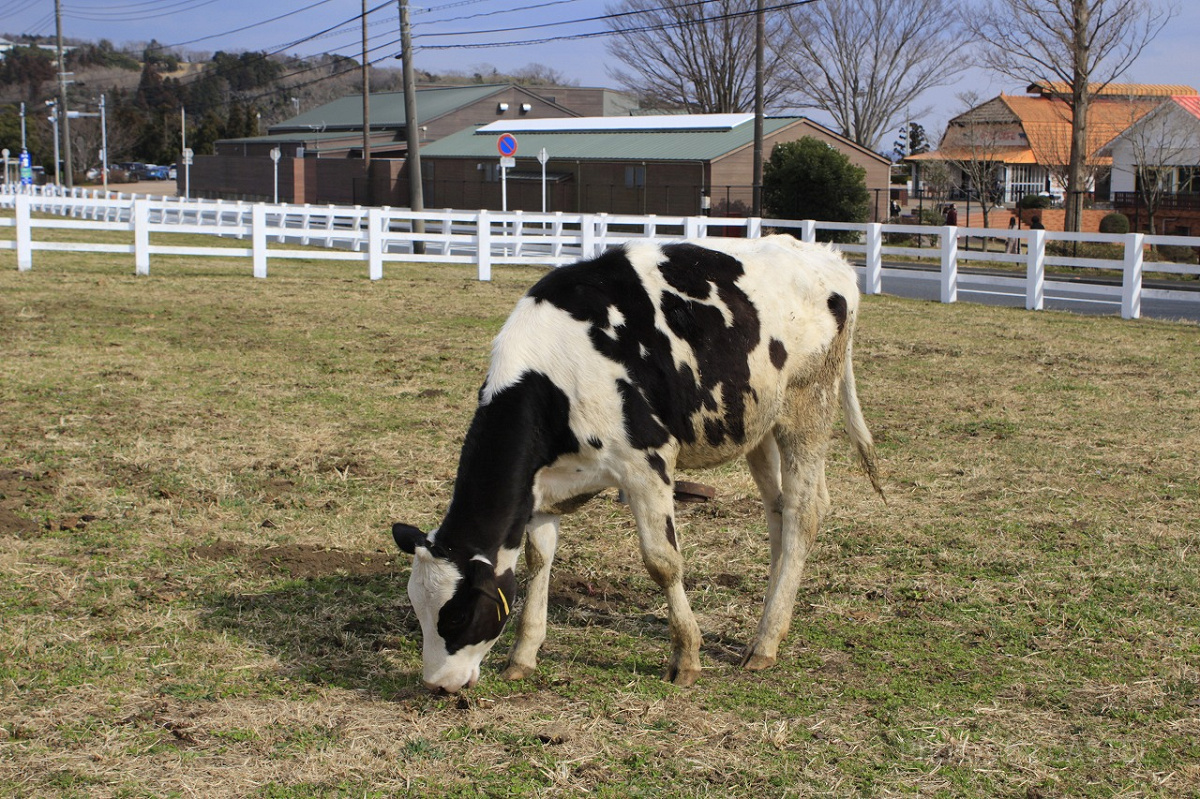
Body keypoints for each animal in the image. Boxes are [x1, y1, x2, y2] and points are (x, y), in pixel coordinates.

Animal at [393, 235, 883, 691]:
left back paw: (765, 643)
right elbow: (538, 559)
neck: (556, 374)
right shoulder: (542, 488)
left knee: (804, 510)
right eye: (418, 609)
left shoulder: (647, 463)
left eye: (456, 617)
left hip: (808, 404)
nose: (437, 685)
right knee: (779, 511)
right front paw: (523, 654)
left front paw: (686, 656)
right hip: (760, 423)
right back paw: (769, 626)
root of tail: (826, 256)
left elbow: (662, 562)